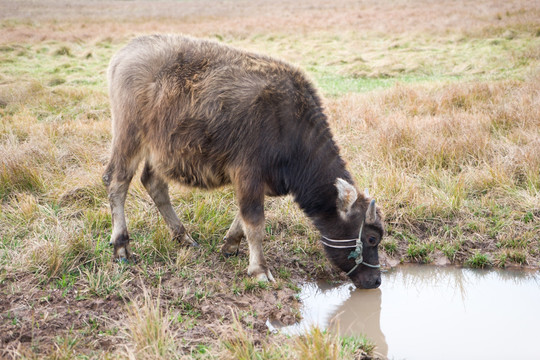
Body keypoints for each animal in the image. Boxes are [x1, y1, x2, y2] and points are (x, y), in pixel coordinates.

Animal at [103, 35, 384, 290]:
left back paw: (184, 237)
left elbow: (242, 217)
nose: (376, 281)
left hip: (160, 151)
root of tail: (122, 55)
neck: (289, 124)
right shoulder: (248, 174)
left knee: (154, 183)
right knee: (117, 182)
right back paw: (122, 248)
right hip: (129, 137)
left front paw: (230, 245)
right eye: (371, 238)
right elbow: (255, 221)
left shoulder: (258, 182)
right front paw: (260, 270)